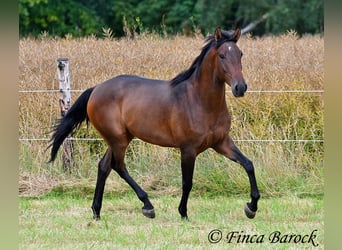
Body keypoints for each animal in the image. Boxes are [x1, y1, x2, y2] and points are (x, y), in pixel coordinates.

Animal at [49, 27, 260, 221]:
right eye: (222, 55)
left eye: (240, 54)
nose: (240, 87)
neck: (199, 101)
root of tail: (96, 89)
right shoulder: (188, 149)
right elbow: (187, 182)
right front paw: (183, 213)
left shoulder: (221, 142)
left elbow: (248, 164)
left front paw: (251, 207)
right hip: (118, 139)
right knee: (118, 166)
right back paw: (147, 206)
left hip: (120, 138)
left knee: (104, 166)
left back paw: (97, 212)